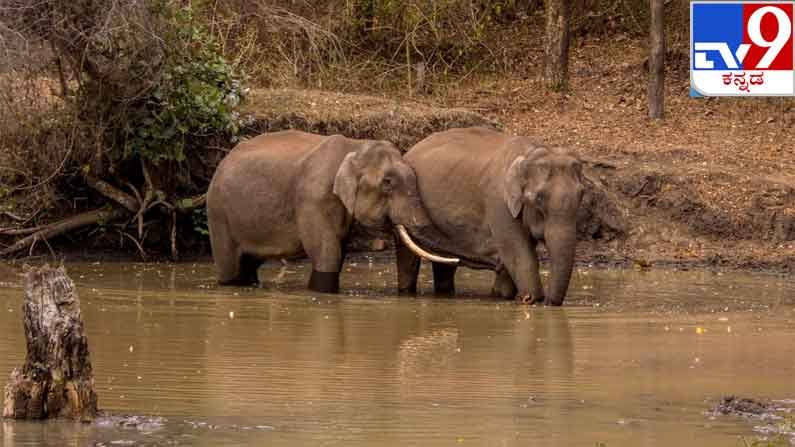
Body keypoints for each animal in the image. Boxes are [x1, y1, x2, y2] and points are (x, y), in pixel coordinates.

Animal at [208, 129, 458, 294]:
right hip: (219, 214)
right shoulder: (312, 198)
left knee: (248, 264)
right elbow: (327, 253)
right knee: (230, 266)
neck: (354, 146)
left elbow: (338, 250)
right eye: (387, 183)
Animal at [396, 128, 584, 306]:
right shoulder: (498, 204)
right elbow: (519, 253)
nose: (548, 302)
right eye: (538, 198)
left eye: (581, 195)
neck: (528, 153)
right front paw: (533, 299)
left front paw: (503, 294)